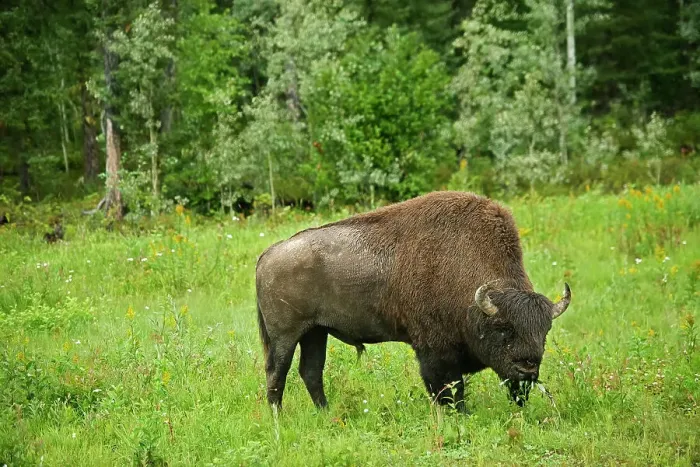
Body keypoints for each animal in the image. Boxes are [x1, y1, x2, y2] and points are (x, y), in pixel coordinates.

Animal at [255, 191, 571, 412]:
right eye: (504, 328)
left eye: (544, 332)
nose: (528, 370)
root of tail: (267, 255)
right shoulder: (434, 351)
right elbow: (447, 387)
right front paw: (459, 414)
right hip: (285, 336)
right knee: (277, 372)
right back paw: (278, 416)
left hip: (315, 332)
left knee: (310, 371)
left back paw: (325, 412)